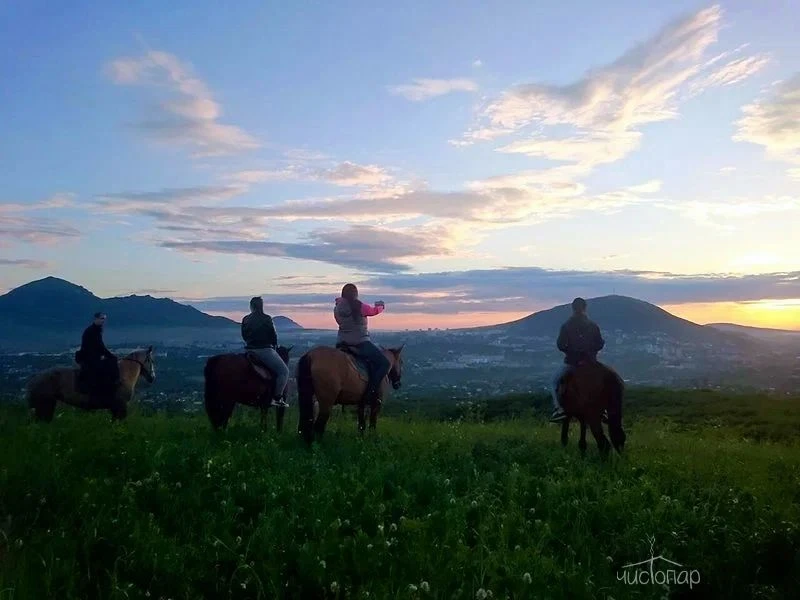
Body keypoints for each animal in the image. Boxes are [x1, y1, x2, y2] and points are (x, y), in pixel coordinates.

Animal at [26, 346, 156, 422]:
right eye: (151, 360)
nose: (153, 377)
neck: (124, 374)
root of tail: (33, 379)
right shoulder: (120, 407)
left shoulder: (116, 409)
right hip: (44, 405)